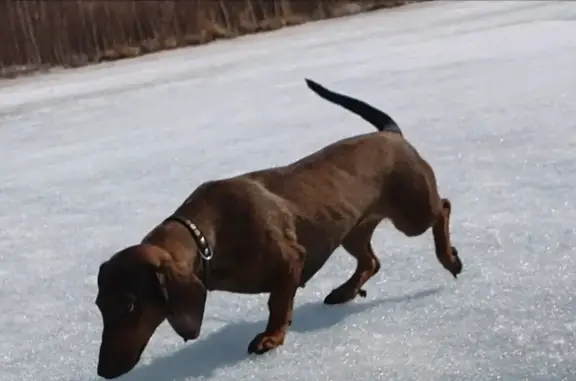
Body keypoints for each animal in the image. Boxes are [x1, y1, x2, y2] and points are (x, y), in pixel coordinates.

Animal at [95, 78, 464, 378]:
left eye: (129, 306)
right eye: (100, 306)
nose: (103, 371)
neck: (206, 238)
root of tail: (389, 133)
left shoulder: (289, 261)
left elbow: (277, 302)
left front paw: (271, 336)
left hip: (411, 215)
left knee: (442, 208)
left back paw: (449, 257)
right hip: (352, 228)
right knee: (371, 261)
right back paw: (345, 291)